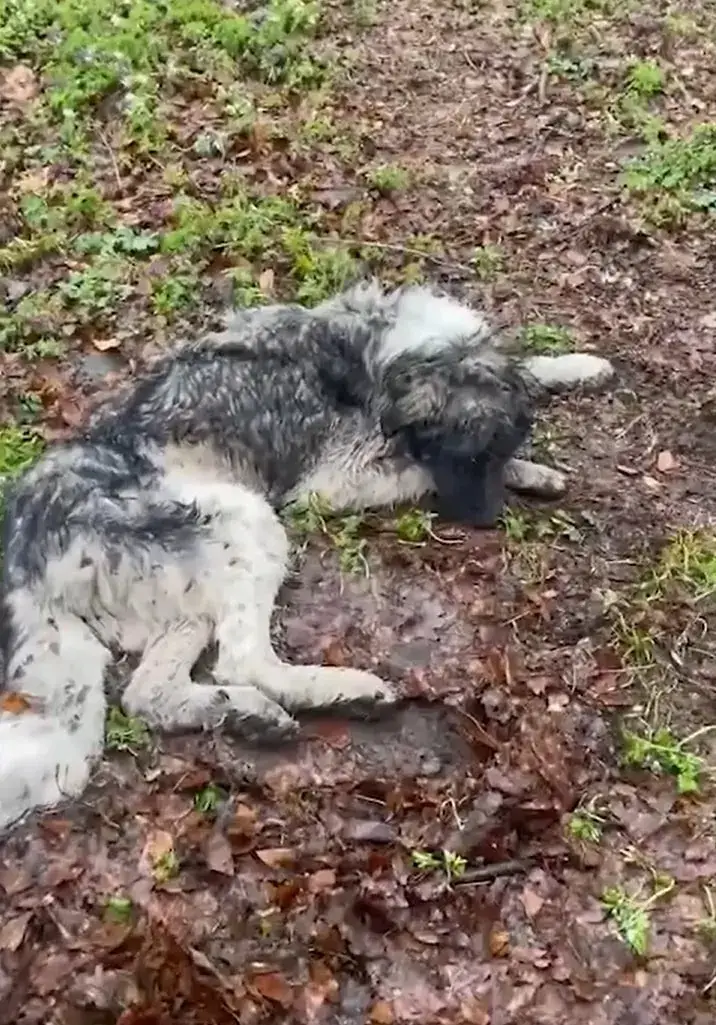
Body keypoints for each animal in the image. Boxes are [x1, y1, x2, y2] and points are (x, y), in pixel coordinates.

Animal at [0, 280, 614, 832]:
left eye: (496, 448)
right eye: (465, 457)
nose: (488, 522)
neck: (384, 350)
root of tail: (25, 556)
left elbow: (528, 365)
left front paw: (576, 368)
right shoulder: (336, 481)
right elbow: (414, 472)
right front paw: (531, 470)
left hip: (190, 589)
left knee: (149, 694)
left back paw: (243, 713)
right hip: (245, 519)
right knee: (242, 659)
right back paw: (344, 690)